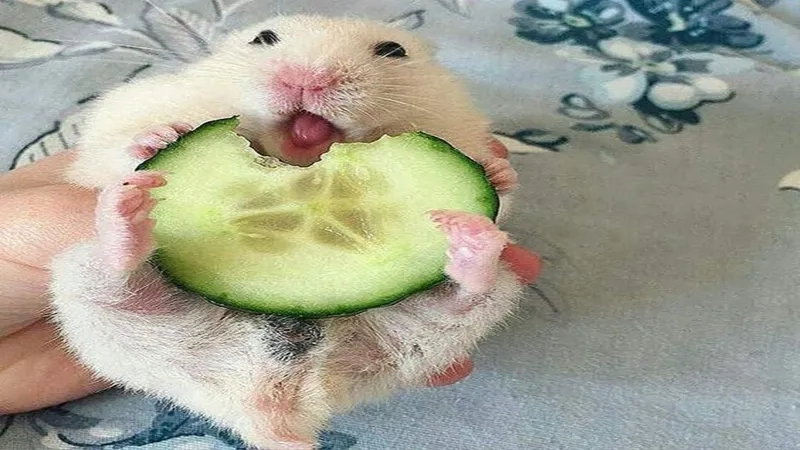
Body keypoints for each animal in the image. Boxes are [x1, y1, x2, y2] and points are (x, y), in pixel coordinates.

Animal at [49, 15, 523, 450]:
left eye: (393, 50)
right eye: (263, 38)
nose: (307, 78)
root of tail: (275, 403)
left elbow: (501, 193)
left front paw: (497, 171)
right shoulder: (121, 114)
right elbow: (113, 148)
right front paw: (160, 138)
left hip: (463, 315)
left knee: (467, 295)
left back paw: (473, 243)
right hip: (86, 300)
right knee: (116, 282)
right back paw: (123, 218)